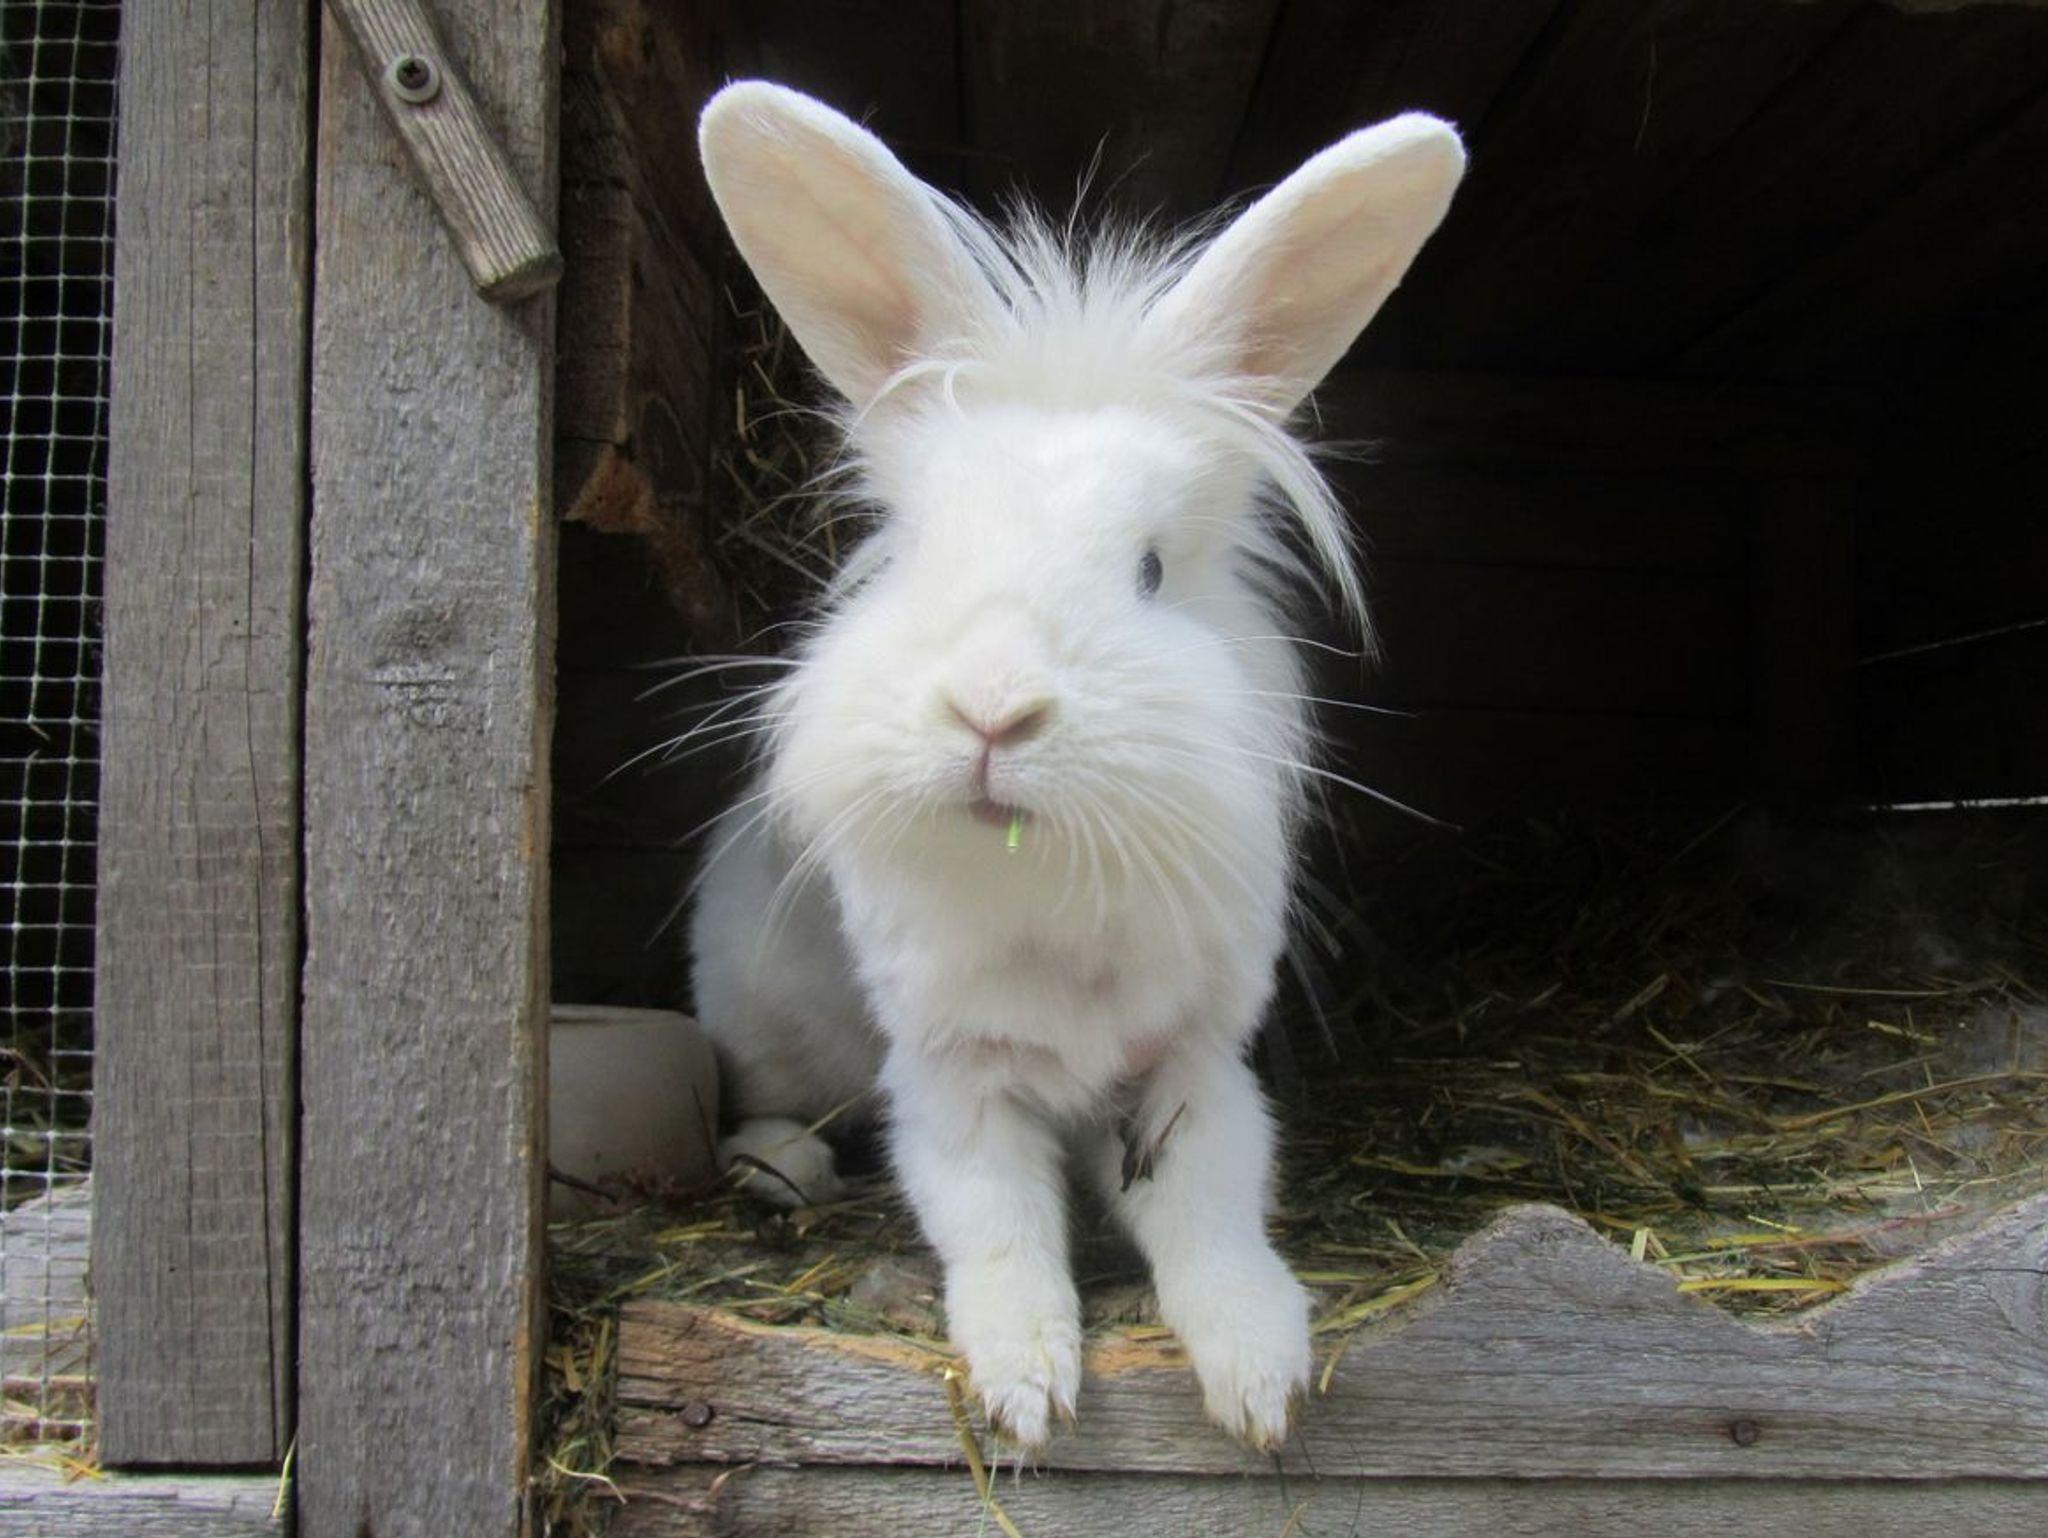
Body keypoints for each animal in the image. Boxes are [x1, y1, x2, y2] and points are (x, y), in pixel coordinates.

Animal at [688, 80, 1464, 1450]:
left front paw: (1260, 1379)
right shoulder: (950, 1082)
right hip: (754, 1013)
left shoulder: (1192, 1069)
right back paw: (787, 1165)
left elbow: (1213, 1210)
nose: (994, 710)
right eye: (917, 550)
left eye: (1150, 568)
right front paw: (1023, 1386)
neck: (1045, 877)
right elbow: (995, 1227)